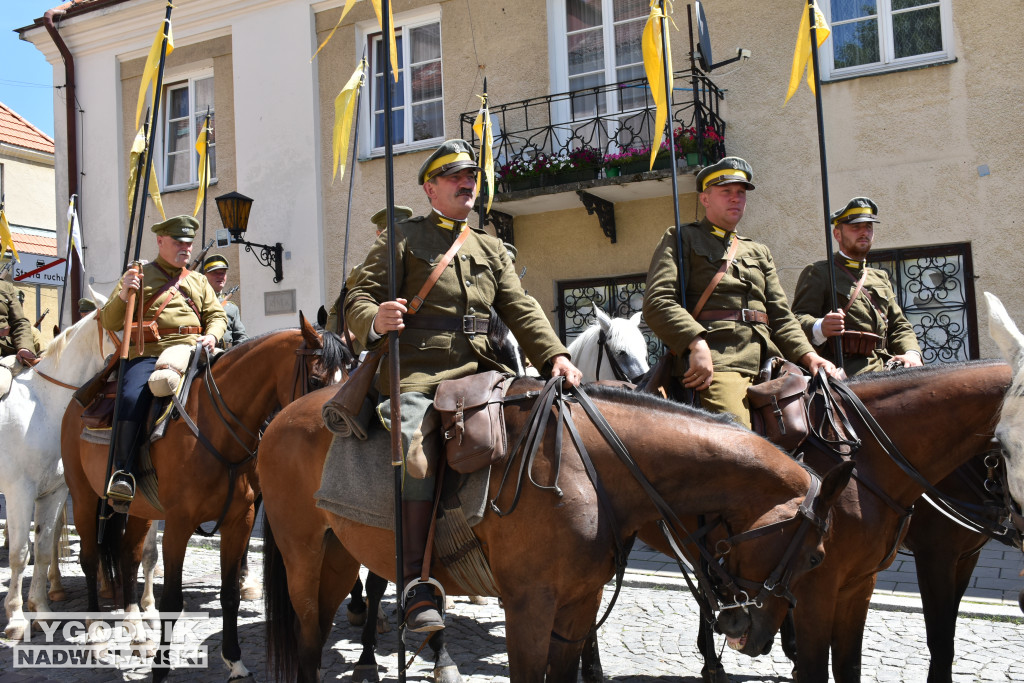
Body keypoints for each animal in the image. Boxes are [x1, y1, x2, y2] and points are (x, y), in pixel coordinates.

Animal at [0, 296, 116, 638]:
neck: (45, 406)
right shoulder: (20, 492)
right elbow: (19, 553)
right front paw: (15, 618)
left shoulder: (54, 492)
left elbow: (43, 547)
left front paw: (40, 610)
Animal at [59, 313, 344, 679]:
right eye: (316, 377)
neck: (217, 427)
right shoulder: (179, 523)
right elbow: (172, 601)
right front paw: (161, 669)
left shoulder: (240, 520)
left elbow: (230, 593)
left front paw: (235, 662)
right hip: (83, 496)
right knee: (91, 557)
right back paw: (95, 634)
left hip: (139, 510)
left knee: (127, 556)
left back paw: (137, 632)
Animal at [258, 378, 856, 683]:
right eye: (815, 557)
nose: (754, 638)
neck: (590, 468)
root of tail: (281, 417)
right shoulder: (529, 606)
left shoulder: (577, 604)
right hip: (303, 556)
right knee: (308, 639)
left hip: (338, 557)